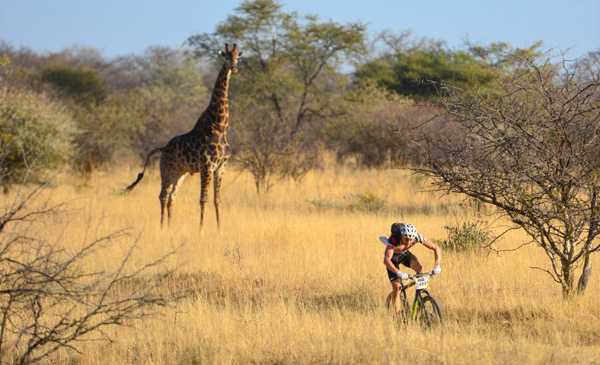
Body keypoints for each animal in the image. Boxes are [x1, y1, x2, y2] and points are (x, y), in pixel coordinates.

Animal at [125, 42, 243, 228]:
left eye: (238, 57)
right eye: (225, 57)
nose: (234, 67)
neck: (220, 126)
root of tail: (162, 148)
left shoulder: (221, 167)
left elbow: (217, 199)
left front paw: (219, 228)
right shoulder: (207, 166)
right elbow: (203, 199)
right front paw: (201, 229)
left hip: (180, 173)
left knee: (171, 197)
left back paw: (170, 226)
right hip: (166, 170)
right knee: (162, 195)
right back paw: (162, 227)